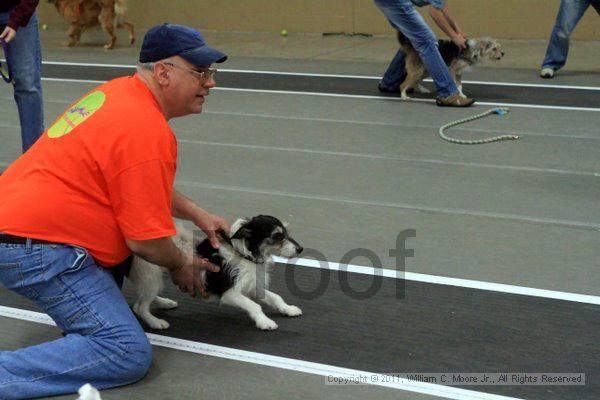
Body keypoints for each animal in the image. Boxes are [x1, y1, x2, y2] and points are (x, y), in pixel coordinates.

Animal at [128, 216, 302, 332]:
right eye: (277, 236)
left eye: (286, 232)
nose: (300, 249)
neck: (243, 254)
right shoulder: (230, 293)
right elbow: (254, 305)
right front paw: (264, 321)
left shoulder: (252, 286)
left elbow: (276, 297)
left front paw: (288, 309)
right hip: (151, 277)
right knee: (140, 306)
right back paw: (155, 322)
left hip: (157, 278)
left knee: (143, 299)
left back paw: (164, 303)